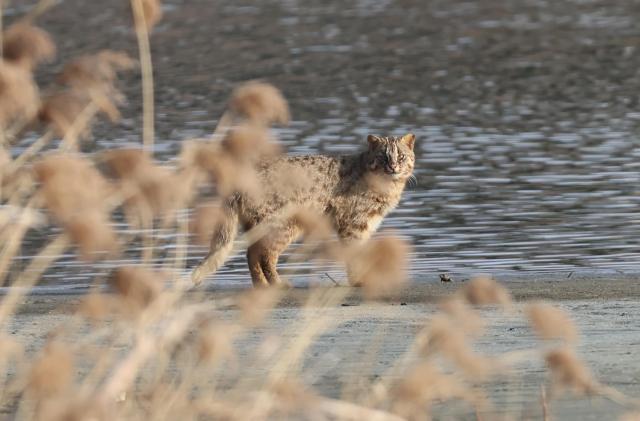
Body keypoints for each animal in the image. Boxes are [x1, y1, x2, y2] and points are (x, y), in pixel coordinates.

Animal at [192, 133, 418, 288]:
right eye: (382, 157)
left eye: (401, 157)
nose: (393, 167)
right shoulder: (353, 225)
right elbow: (354, 255)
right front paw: (358, 281)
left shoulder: (365, 226)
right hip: (281, 226)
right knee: (263, 254)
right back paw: (276, 283)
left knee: (251, 253)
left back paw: (261, 286)